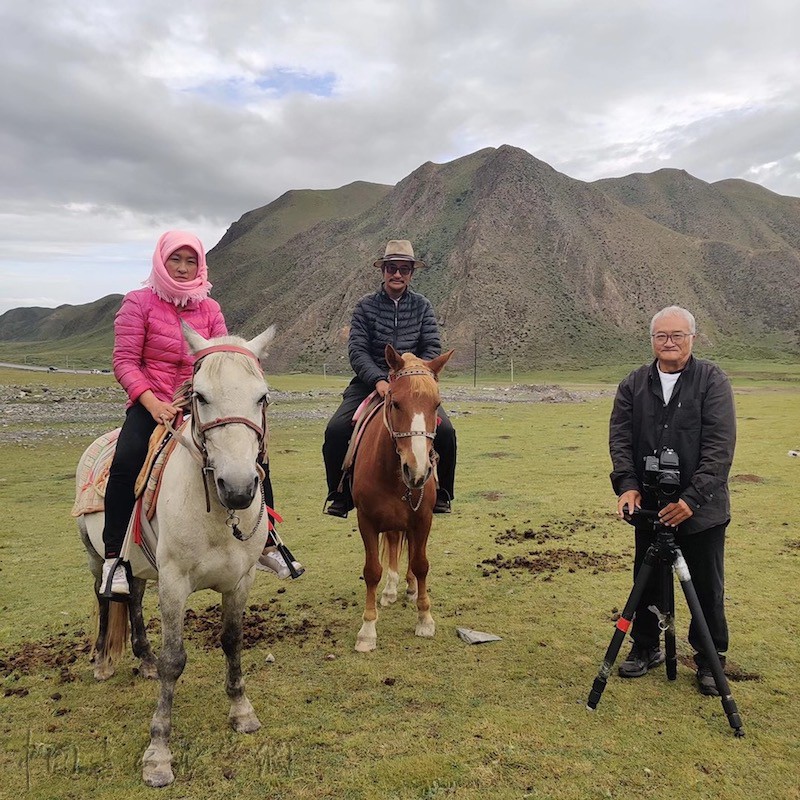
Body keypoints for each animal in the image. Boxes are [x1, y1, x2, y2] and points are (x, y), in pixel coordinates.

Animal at [76, 324, 276, 788]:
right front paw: (159, 752)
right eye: (199, 396)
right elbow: (175, 661)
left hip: (139, 565)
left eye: (262, 397)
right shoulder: (173, 583)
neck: (218, 516)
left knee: (131, 596)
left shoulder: (241, 581)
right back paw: (102, 662)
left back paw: (143, 659)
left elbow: (232, 641)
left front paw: (242, 712)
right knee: (104, 594)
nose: (238, 489)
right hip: (95, 555)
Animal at [354, 344, 454, 648]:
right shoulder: (366, 521)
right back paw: (390, 590)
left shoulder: (422, 519)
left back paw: (408, 588)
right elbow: (372, 570)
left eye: (436, 404)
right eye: (396, 403)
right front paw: (367, 629)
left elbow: (421, 565)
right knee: (394, 544)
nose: (418, 471)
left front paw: (425, 619)